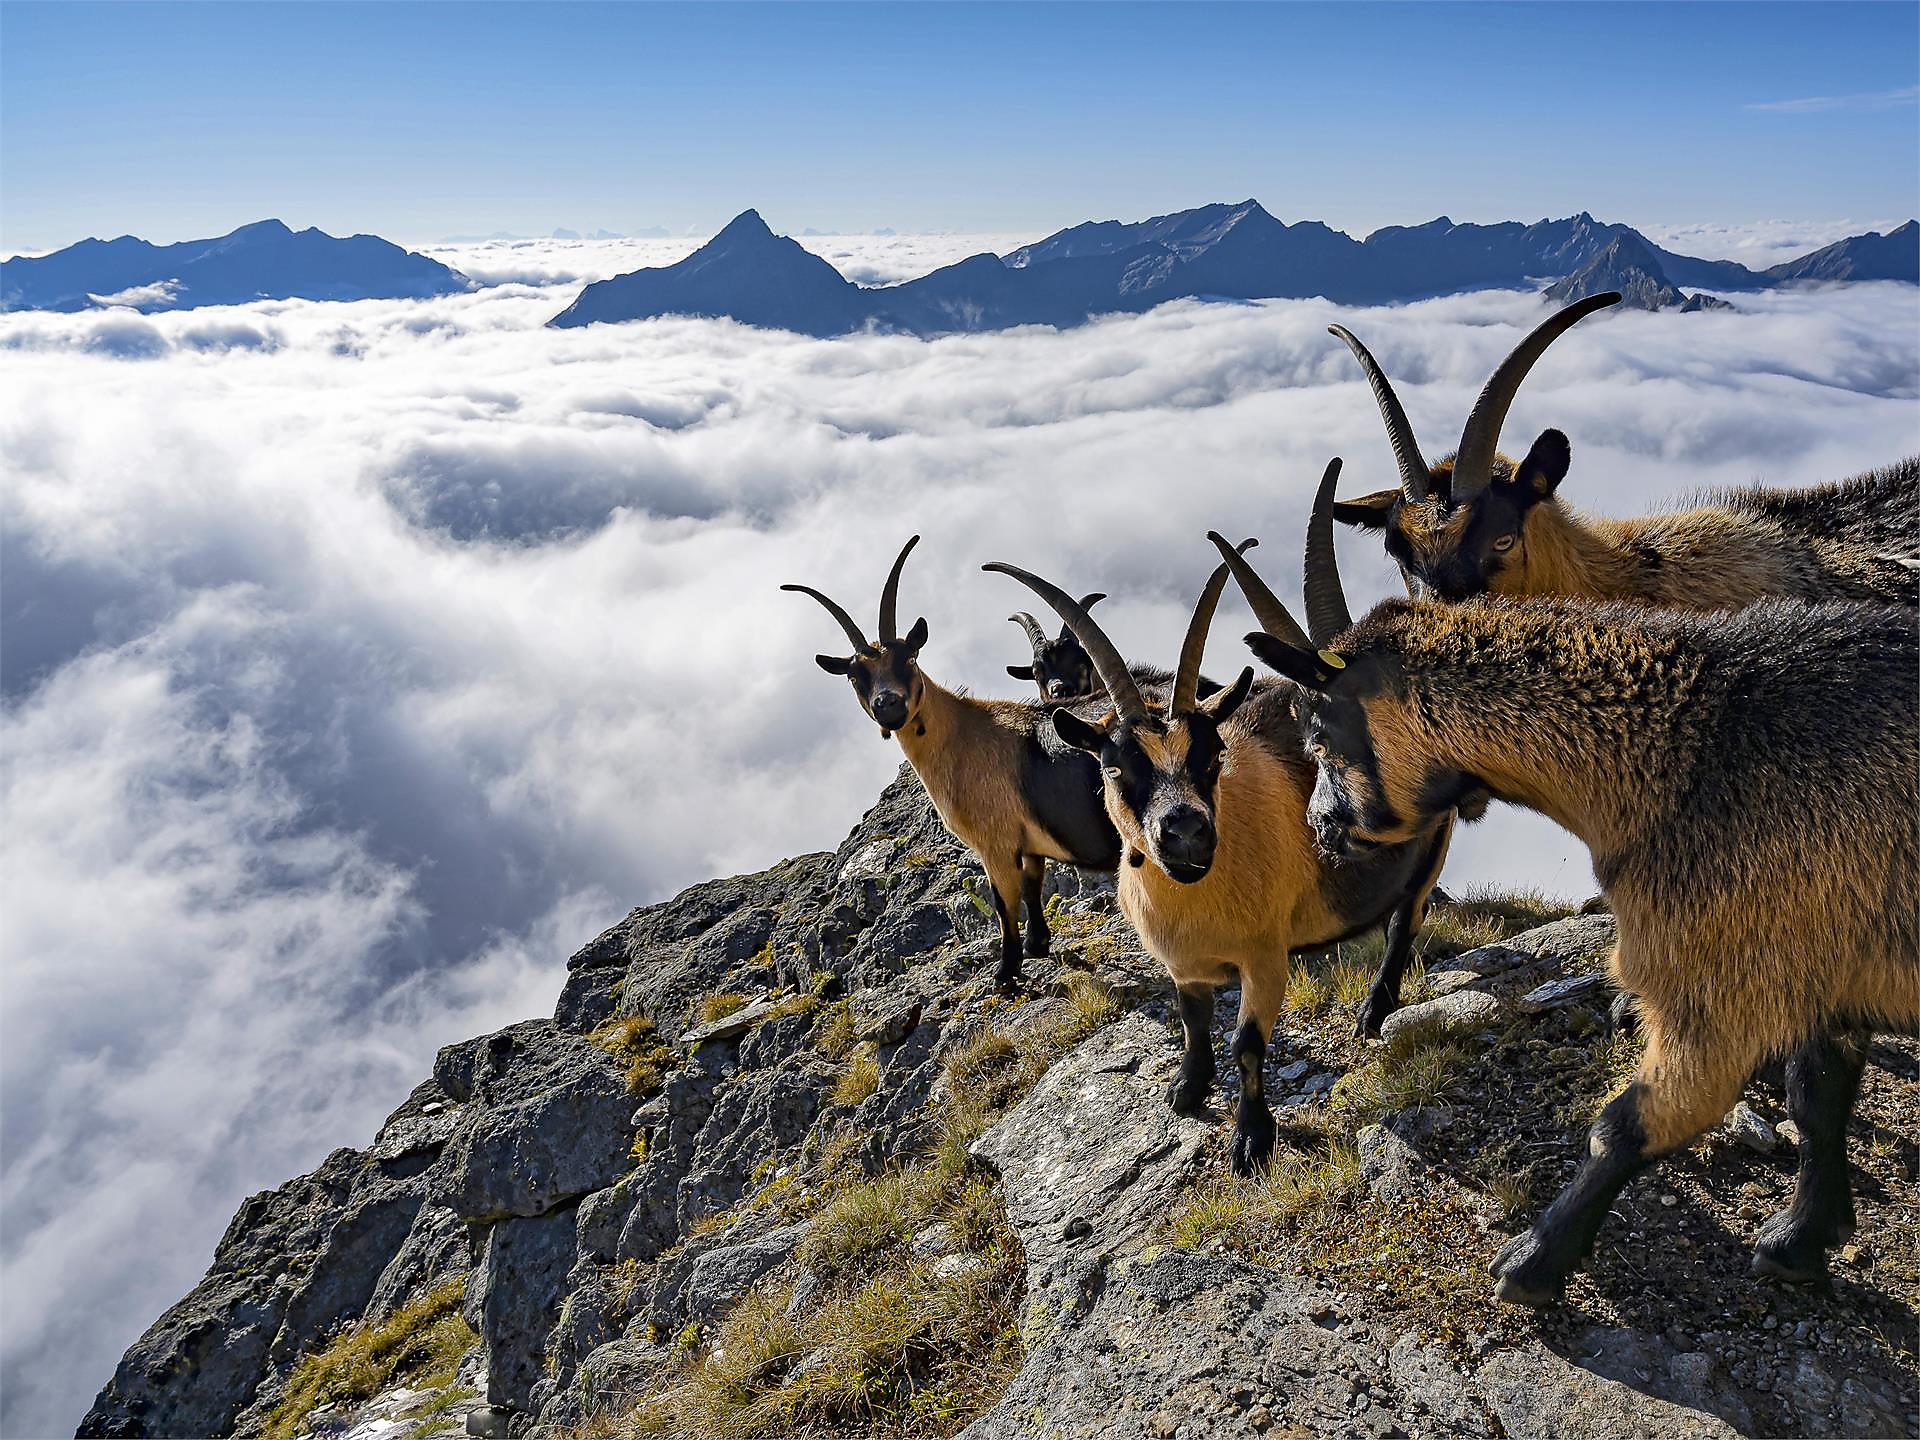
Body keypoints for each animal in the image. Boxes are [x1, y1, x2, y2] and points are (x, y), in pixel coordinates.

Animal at [784, 537, 1122, 991]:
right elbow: (1032, 886)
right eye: (855, 676)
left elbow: (1003, 902)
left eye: (909, 658)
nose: (888, 705)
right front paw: (1037, 946)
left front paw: (1005, 975)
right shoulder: (1028, 841)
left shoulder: (995, 842)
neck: (966, 734)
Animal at [984, 513, 1450, 1173]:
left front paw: (1251, 1140)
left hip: (1437, 837)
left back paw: (1372, 1014)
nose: (1185, 832)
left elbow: (1247, 1043)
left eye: (1213, 755)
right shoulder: (1184, 965)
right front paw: (1187, 1090)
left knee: (1405, 917)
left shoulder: (1264, 959)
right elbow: (1193, 1022)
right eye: (1114, 767)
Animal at [1216, 494, 1919, 1304]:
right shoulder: (1818, 963)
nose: (1321, 827)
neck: (1683, 753)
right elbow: (1818, 1094)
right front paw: (1804, 1236)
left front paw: (1532, 1261)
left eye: (1322, 730)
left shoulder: (1714, 976)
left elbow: (1629, 1124)